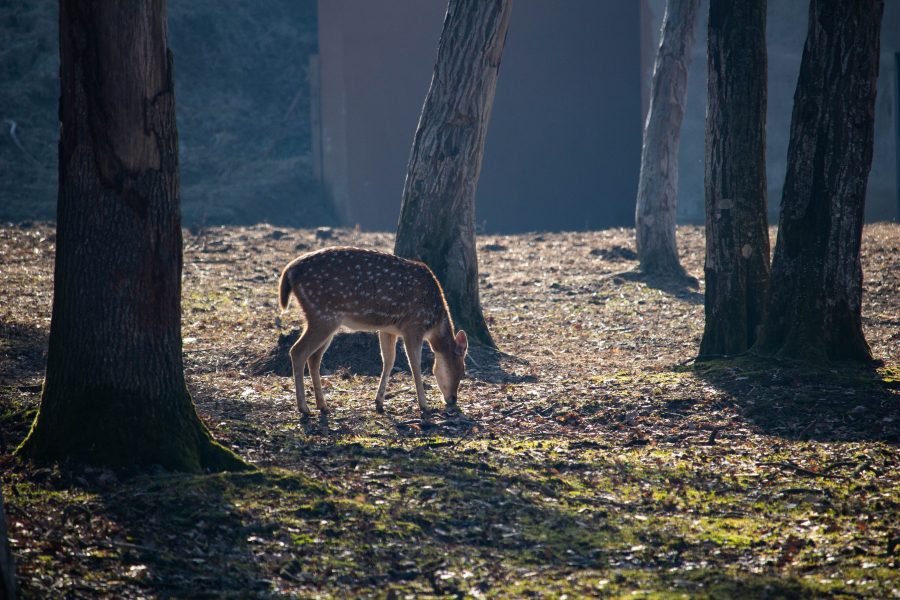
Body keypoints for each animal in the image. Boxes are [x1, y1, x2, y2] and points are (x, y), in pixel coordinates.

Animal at [278, 246, 468, 414]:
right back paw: (304, 408)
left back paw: (323, 406)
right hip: (323, 315)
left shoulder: (389, 329)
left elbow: (388, 360)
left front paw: (379, 403)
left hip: (322, 319)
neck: (434, 322)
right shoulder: (414, 325)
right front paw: (424, 405)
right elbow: (414, 363)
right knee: (298, 351)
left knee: (314, 357)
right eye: (460, 369)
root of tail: (289, 271)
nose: (453, 399)